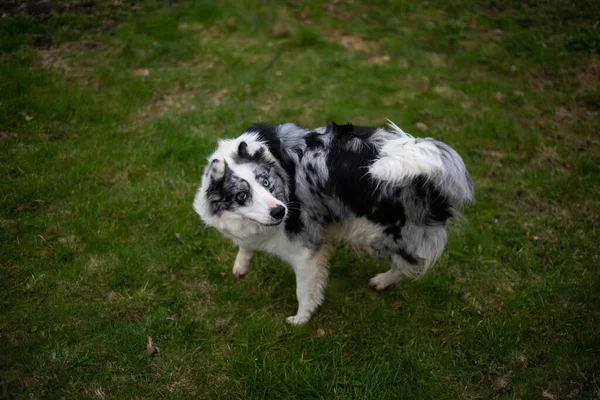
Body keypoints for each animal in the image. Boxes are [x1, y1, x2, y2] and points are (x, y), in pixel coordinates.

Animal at [193, 120, 474, 324]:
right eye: (242, 195)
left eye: (266, 182)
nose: (280, 212)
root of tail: (433, 177)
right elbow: (246, 243)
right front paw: (241, 264)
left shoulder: (306, 248)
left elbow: (304, 289)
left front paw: (301, 319)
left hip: (376, 235)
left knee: (410, 263)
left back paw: (381, 281)